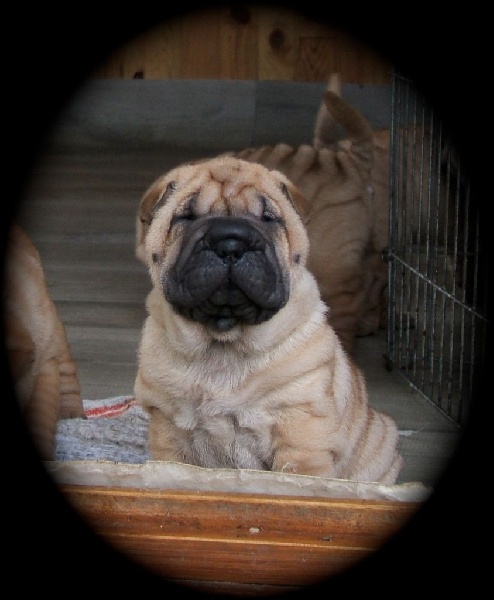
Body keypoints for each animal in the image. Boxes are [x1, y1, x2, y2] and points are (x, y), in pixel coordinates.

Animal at [134, 155, 402, 484]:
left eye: (268, 218)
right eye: (186, 217)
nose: (230, 243)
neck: (223, 342)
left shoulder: (300, 430)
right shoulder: (169, 428)